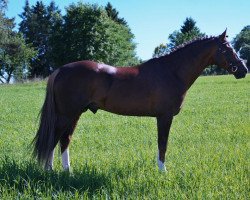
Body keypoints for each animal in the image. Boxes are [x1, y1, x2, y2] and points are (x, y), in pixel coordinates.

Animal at [33, 30, 248, 171]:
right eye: (227, 49)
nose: (243, 69)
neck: (172, 71)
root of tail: (61, 70)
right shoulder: (164, 117)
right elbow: (163, 144)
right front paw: (163, 172)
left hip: (74, 114)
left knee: (64, 140)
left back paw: (66, 171)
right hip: (67, 114)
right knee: (54, 139)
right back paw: (50, 171)